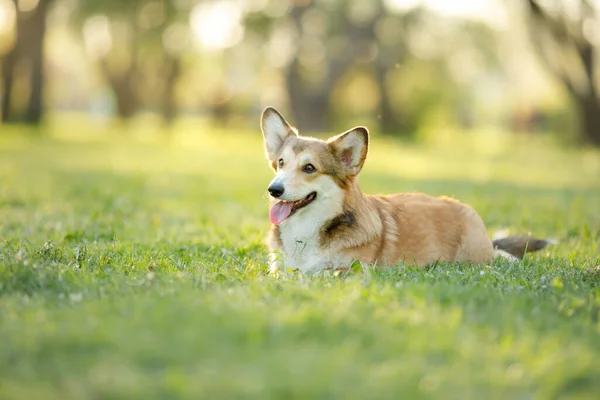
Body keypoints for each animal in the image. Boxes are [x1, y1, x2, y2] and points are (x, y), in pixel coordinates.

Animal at [260, 107, 552, 276]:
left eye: (309, 168)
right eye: (281, 163)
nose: (274, 190)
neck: (306, 233)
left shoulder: (347, 271)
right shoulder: (278, 268)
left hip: (474, 258)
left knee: (499, 256)